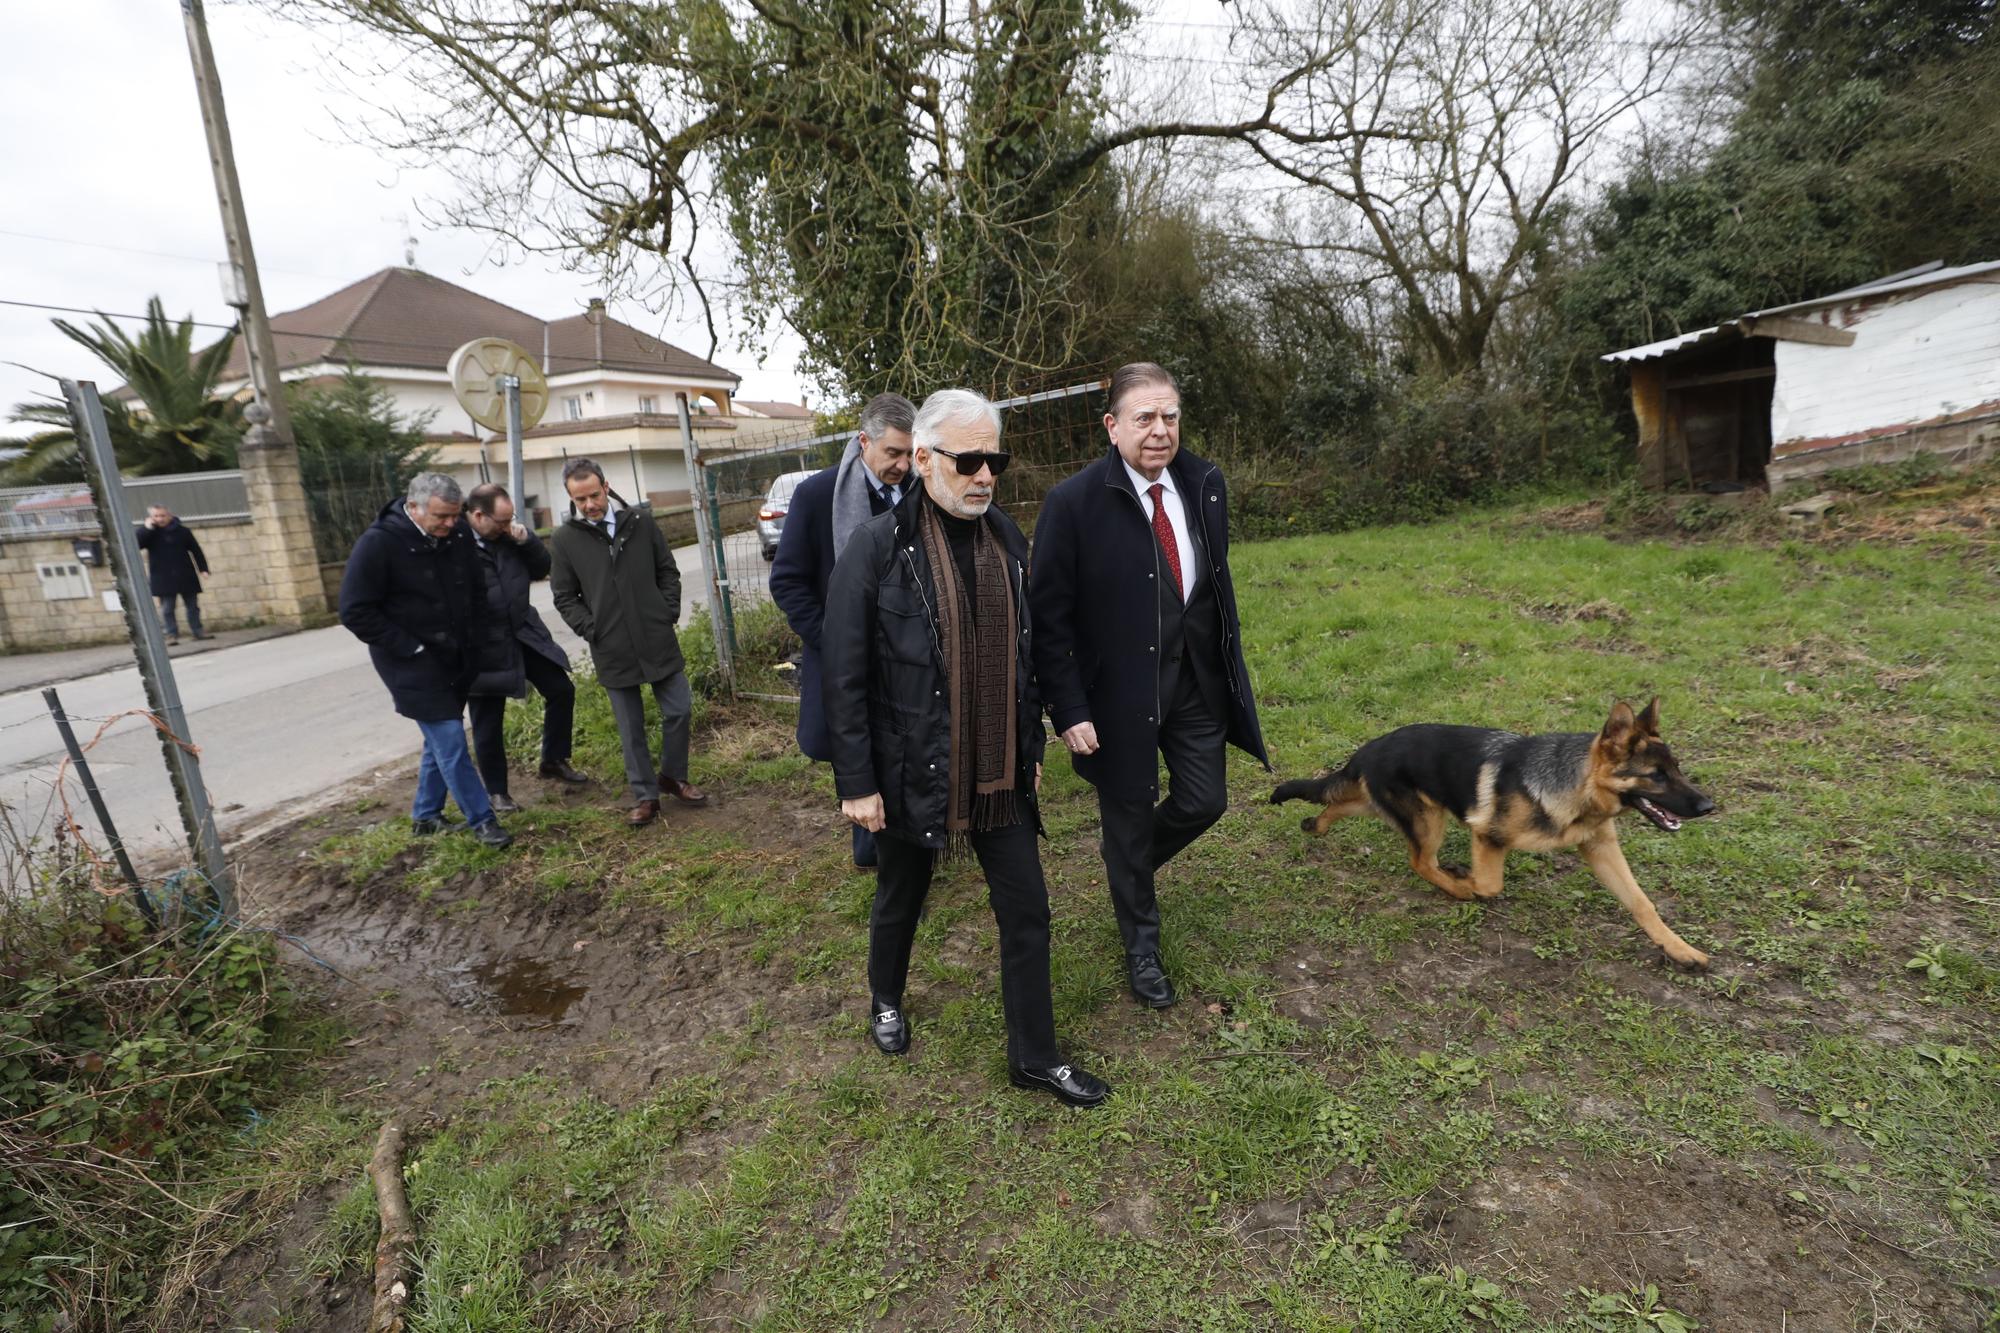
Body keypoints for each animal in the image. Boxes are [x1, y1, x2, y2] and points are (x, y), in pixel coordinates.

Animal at [1264, 696, 1720, 964]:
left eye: (1677, 769)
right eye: (1656, 776)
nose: (1708, 806)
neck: (1576, 786)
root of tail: (1370, 747)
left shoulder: (1600, 847)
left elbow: (1642, 903)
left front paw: (1679, 948)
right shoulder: (1487, 835)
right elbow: (1489, 885)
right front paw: (1468, 882)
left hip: (1393, 805)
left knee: (1341, 803)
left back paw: (1316, 825)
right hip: (1427, 819)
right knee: (1420, 861)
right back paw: (1454, 884)